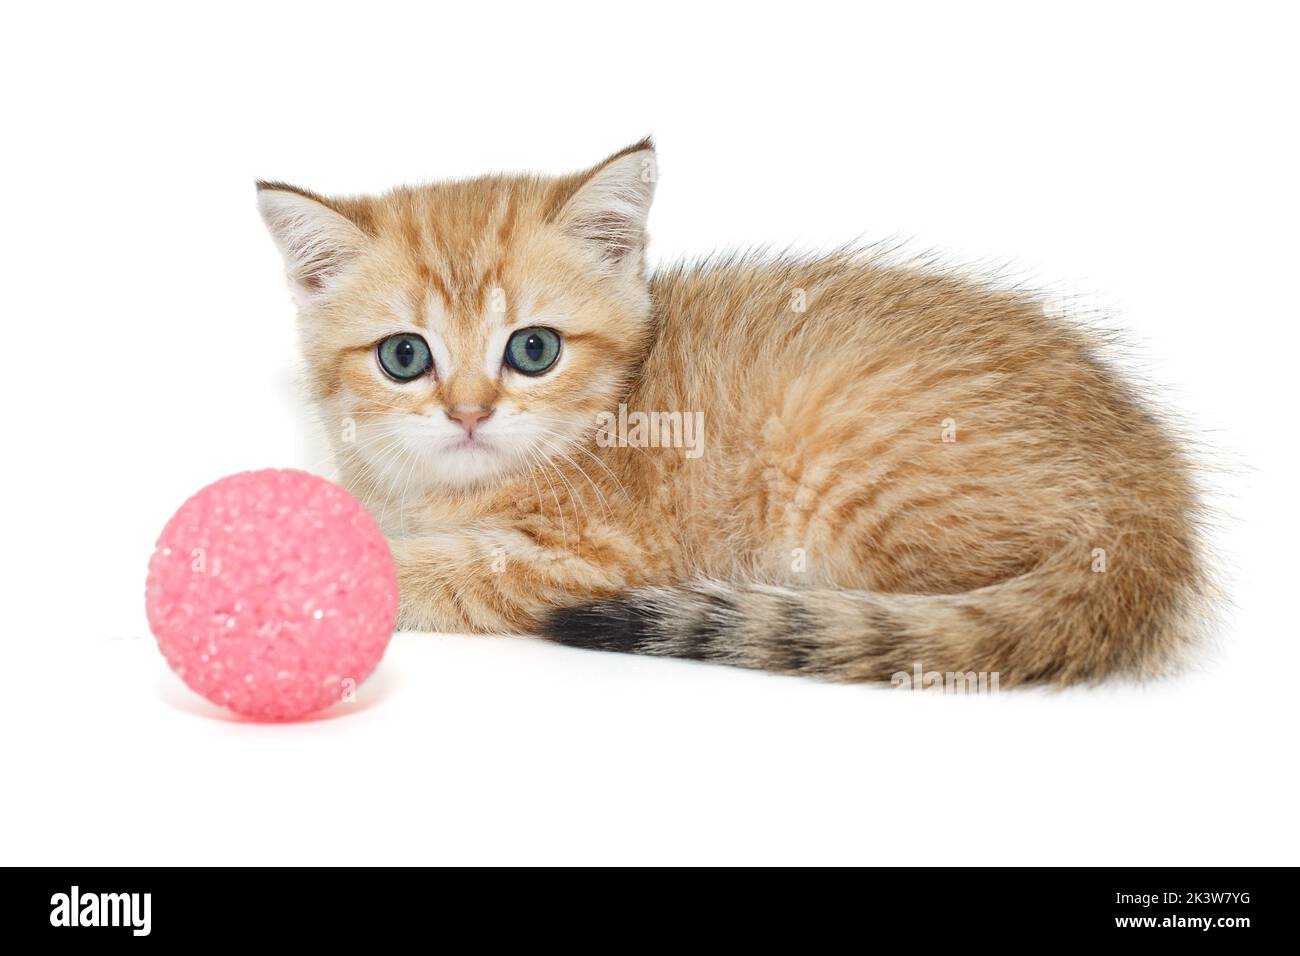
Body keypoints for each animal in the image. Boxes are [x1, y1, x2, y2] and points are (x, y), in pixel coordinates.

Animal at [256, 138, 1206, 686]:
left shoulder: (599, 555)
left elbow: (442, 569)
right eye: (404, 357)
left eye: (533, 350)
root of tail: (1149, 504)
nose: (468, 414)